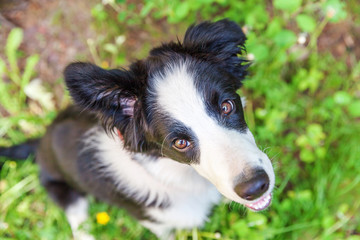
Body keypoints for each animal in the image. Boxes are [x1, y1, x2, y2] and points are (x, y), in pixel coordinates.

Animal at [0, 19, 276, 239]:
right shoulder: (157, 223)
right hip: (65, 193)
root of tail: (40, 142)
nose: (255, 187)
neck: (174, 174)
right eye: (180, 143)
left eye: (227, 106)